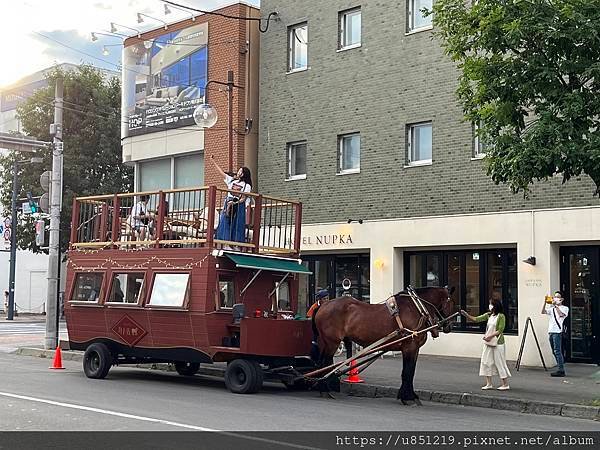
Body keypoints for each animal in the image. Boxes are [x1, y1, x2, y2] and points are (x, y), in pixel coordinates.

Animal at [314, 286, 454, 406]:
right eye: (451, 302)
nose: (449, 327)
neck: (417, 308)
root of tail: (323, 306)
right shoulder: (409, 347)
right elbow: (407, 372)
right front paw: (408, 398)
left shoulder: (415, 349)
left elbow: (411, 372)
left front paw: (410, 396)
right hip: (332, 342)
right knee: (325, 363)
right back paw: (325, 389)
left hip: (326, 342)